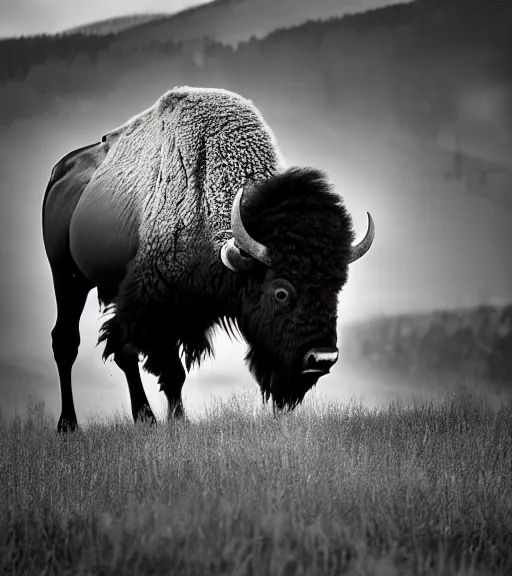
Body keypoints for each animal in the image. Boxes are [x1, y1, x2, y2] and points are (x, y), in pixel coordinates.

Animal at [42, 86, 374, 432]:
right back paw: (68, 425)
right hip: (66, 277)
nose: (322, 358)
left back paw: (145, 418)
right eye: (281, 292)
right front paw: (180, 422)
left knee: (122, 352)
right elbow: (171, 371)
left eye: (337, 288)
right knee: (66, 342)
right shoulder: (156, 309)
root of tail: (60, 172)